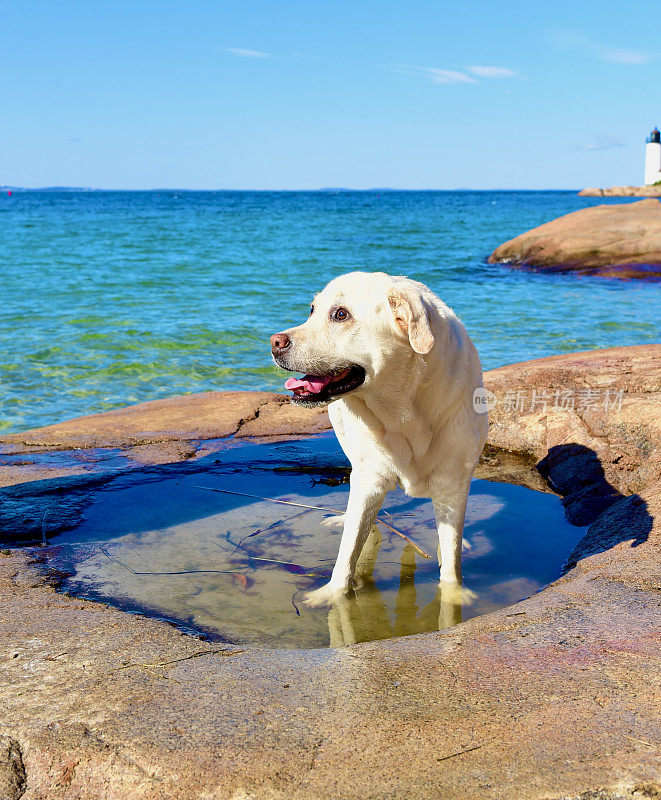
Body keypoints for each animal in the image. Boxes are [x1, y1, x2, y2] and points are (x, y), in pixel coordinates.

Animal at [268, 272, 484, 604]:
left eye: (340, 314)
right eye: (312, 309)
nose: (274, 342)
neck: (403, 408)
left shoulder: (453, 482)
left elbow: (451, 560)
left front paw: (454, 595)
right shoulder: (370, 476)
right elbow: (347, 553)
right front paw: (331, 595)